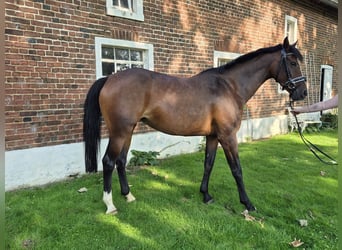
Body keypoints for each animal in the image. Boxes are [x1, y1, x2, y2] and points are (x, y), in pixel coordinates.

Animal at [83, 37, 308, 215]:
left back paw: (128, 196)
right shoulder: (228, 136)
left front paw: (206, 195)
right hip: (119, 132)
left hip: (128, 131)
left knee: (121, 161)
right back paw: (110, 205)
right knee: (108, 162)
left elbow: (208, 163)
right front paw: (247, 203)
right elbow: (236, 169)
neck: (229, 87)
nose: (303, 93)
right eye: (292, 62)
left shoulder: (212, 136)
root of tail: (109, 78)